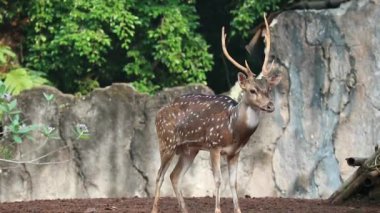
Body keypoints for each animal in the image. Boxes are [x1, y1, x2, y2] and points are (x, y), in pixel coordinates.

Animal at [152, 15, 282, 213]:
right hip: (166, 142)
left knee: (174, 175)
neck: (233, 128)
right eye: (252, 90)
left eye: (268, 89)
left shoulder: (235, 152)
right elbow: (219, 180)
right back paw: (154, 209)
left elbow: (234, 183)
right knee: (159, 174)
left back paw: (185, 210)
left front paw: (238, 210)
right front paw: (218, 209)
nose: (270, 105)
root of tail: (157, 114)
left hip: (189, 149)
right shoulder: (214, 145)